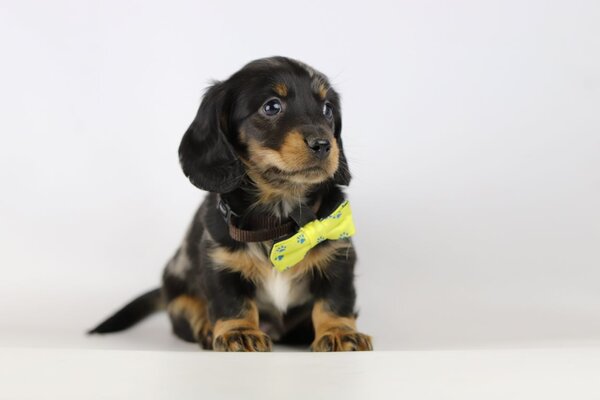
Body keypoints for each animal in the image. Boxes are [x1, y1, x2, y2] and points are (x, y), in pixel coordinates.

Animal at [89, 56, 372, 352]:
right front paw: (240, 332)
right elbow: (233, 303)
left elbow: (334, 301)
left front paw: (339, 333)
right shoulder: (221, 262)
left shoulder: (338, 258)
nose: (323, 145)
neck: (279, 212)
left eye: (327, 109)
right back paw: (204, 326)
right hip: (176, 288)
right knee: (185, 308)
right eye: (272, 106)